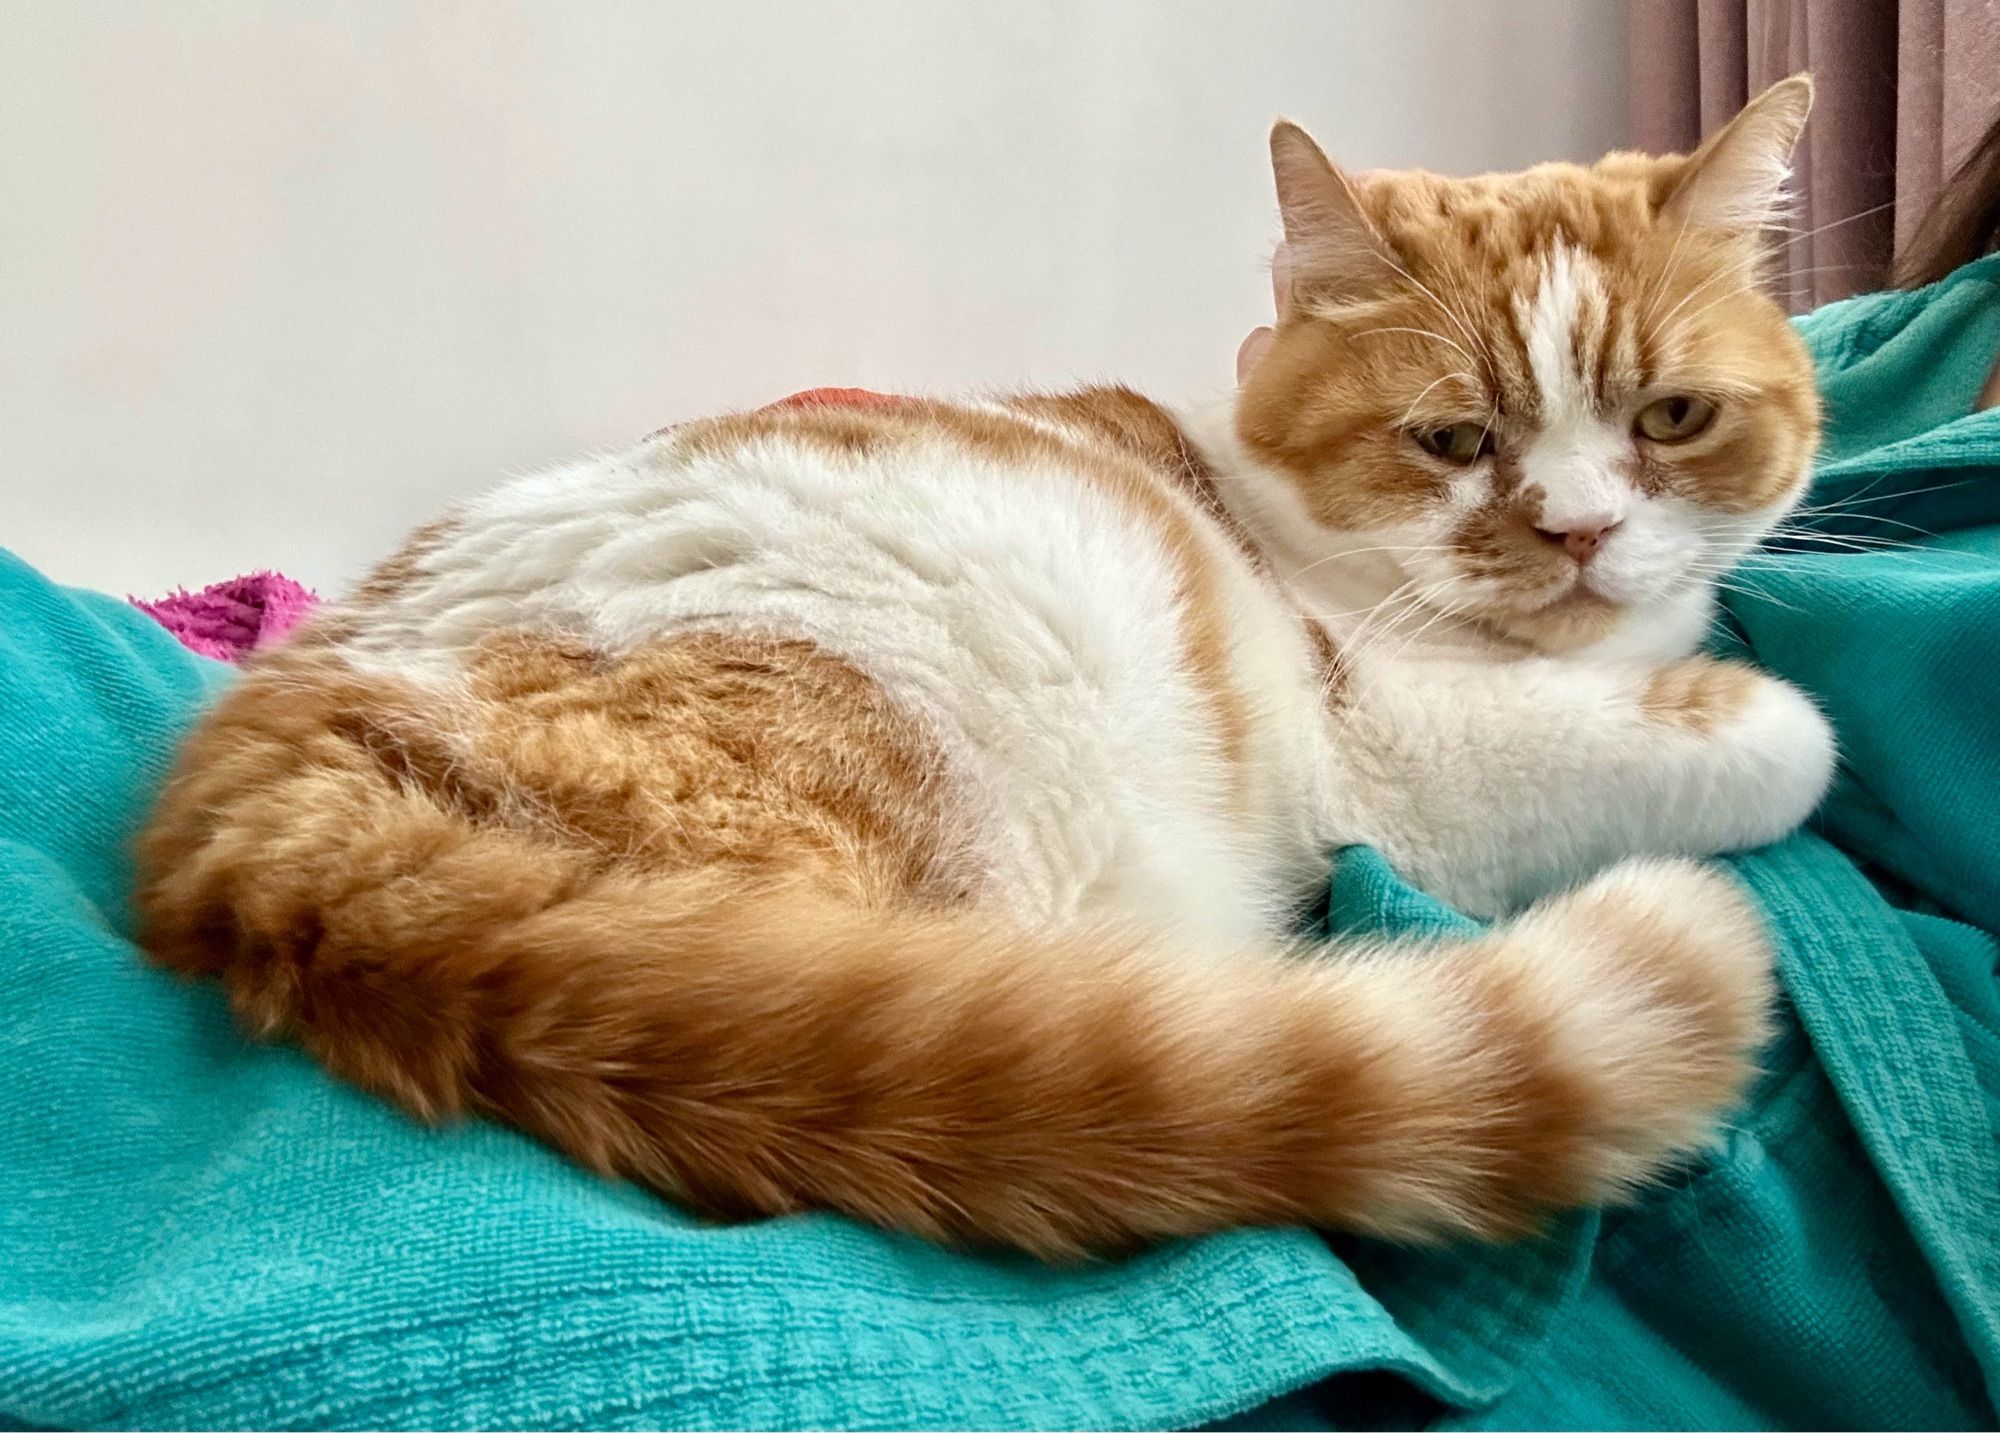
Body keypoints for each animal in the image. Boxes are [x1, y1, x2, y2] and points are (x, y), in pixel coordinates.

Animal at [137, 75, 1832, 1256]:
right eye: (1454, 441)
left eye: (1673, 419)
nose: (1579, 533)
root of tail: (263, 802)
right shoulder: (1403, 757)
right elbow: (1768, 742)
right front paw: (1751, 710)